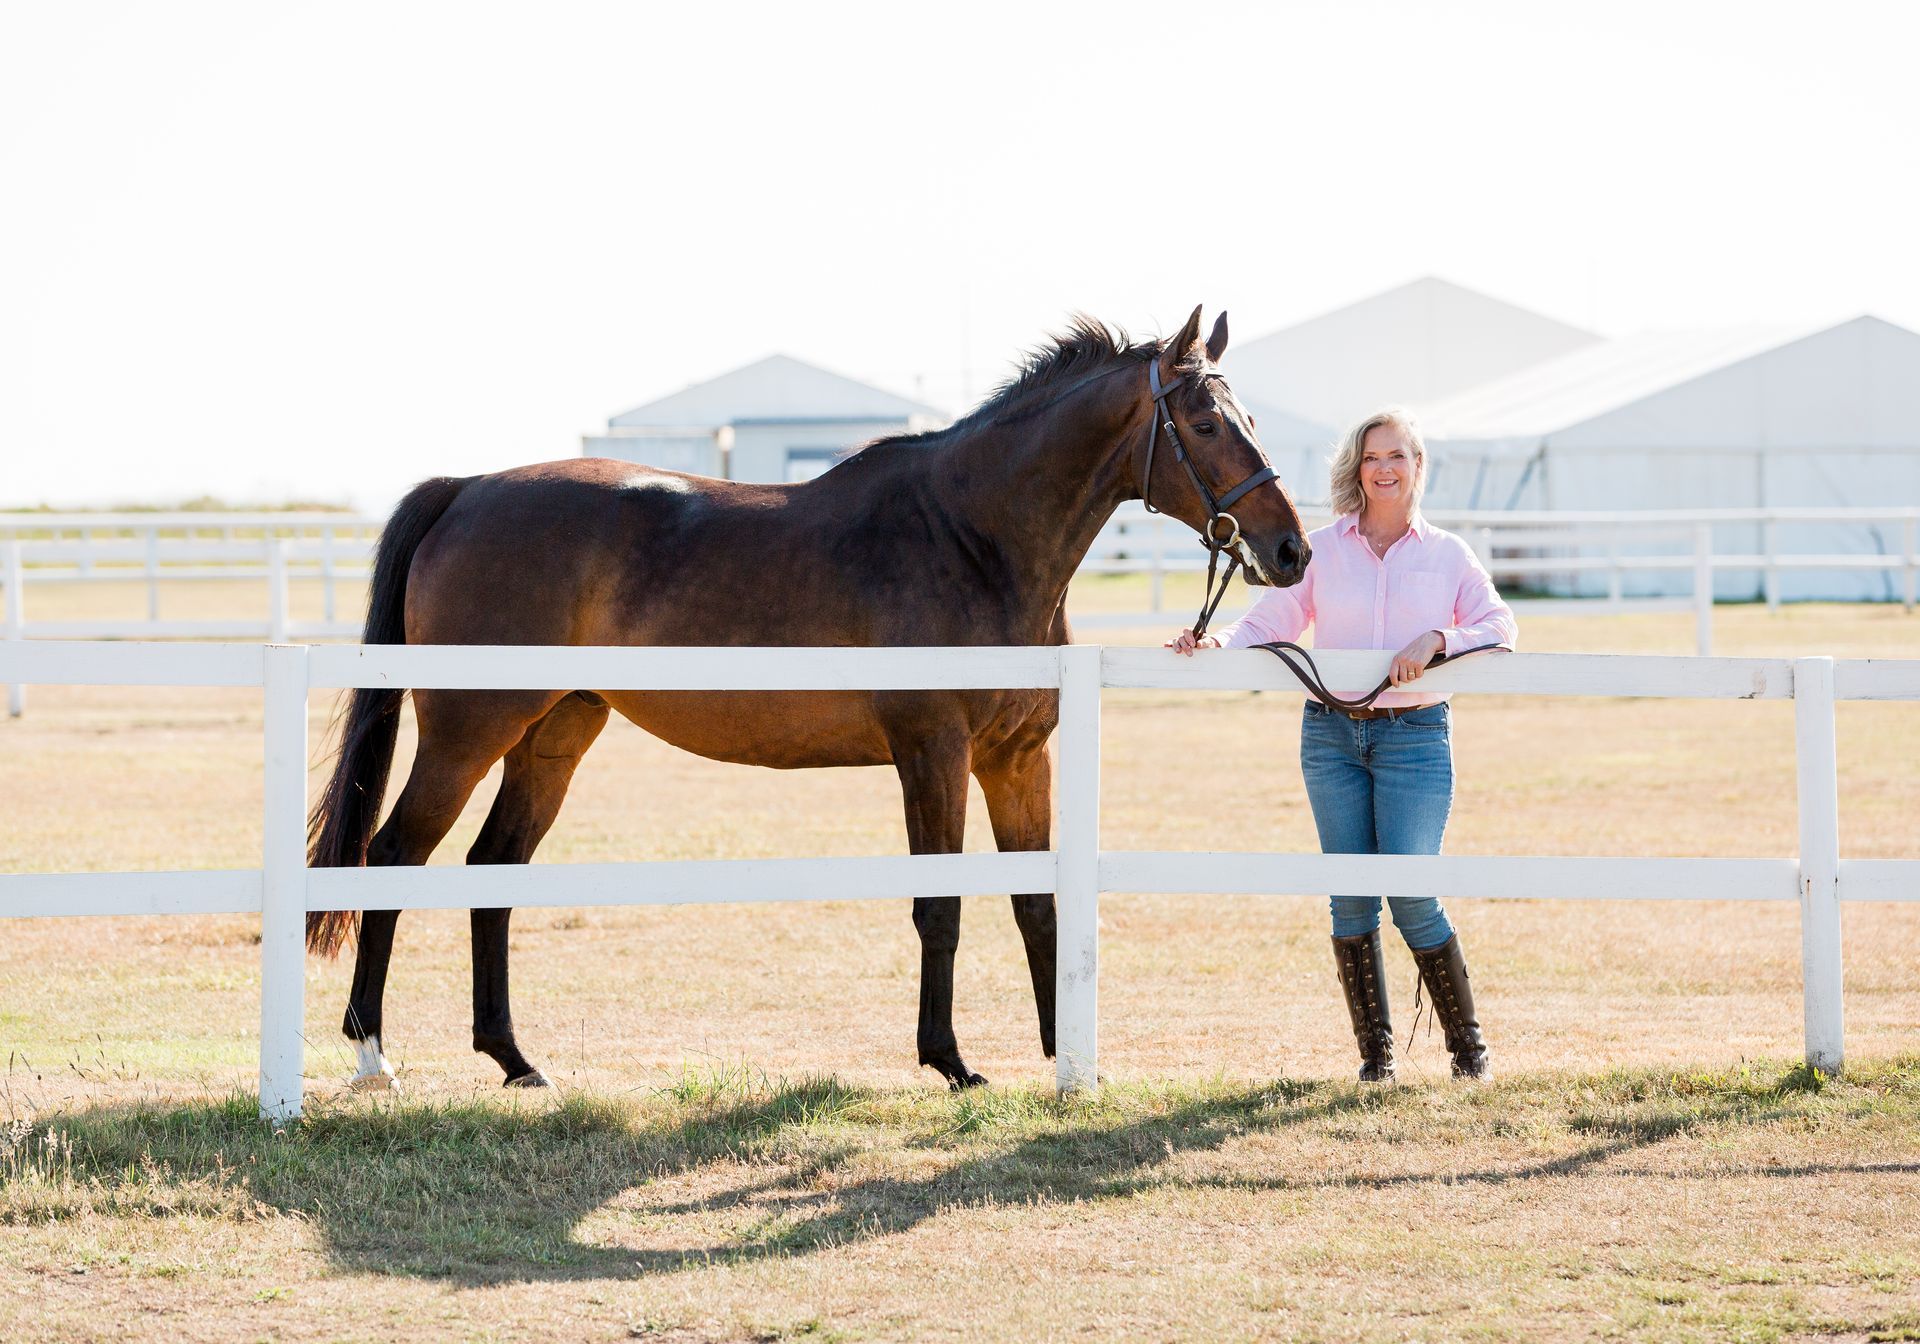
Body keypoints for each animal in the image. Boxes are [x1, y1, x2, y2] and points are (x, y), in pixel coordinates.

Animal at [304, 305, 1310, 1091]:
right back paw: (373, 1055)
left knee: (494, 873)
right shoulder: (933, 752)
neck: (970, 534)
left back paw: (516, 1061)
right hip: (467, 731)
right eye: (1207, 424)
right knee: (392, 858)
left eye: (1251, 415)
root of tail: (466, 489)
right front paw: (950, 1061)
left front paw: (1063, 1056)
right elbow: (940, 908)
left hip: (556, 731)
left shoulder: (1016, 759)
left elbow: (1038, 905)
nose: (1290, 549)